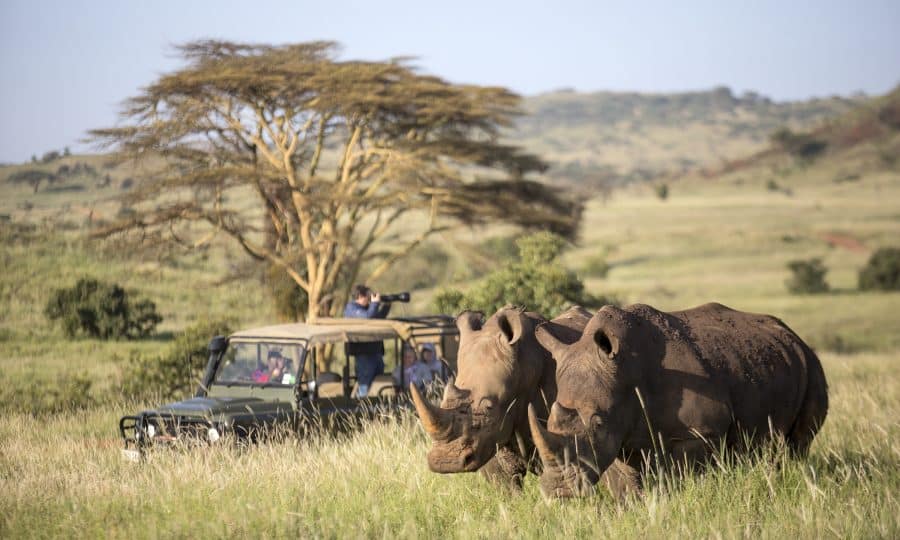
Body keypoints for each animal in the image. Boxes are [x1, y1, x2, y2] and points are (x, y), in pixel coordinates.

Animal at [528, 302, 829, 499]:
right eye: (550, 419)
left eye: (597, 423)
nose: (558, 491)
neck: (627, 372)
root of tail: (793, 335)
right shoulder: (619, 435)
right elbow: (625, 484)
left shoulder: (698, 433)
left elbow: (684, 476)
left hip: (811, 366)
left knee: (797, 444)